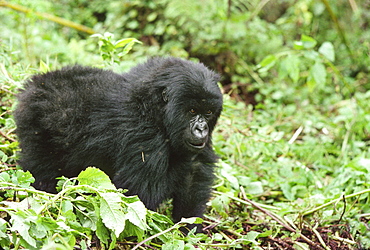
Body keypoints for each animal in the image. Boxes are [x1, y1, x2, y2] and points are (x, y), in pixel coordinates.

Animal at [13, 56, 223, 230]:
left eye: (208, 112)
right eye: (192, 111)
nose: (201, 129)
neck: (153, 106)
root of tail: (35, 84)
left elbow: (194, 173)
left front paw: (189, 227)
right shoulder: (145, 134)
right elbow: (139, 195)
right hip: (35, 122)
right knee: (41, 169)